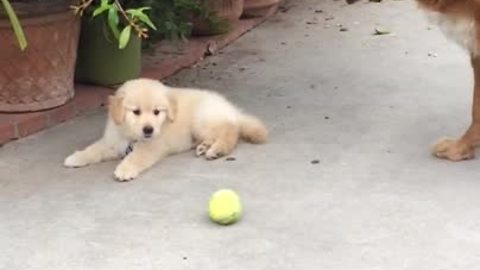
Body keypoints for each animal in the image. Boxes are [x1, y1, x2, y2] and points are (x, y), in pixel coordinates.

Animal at [62, 77, 268, 181]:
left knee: (230, 131)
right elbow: (94, 149)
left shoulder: (152, 146)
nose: (148, 130)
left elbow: (136, 157)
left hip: (202, 118)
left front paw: (125, 169)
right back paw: (204, 147)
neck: (131, 135)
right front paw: (76, 158)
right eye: (136, 112)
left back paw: (216, 150)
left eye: (156, 112)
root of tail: (230, 109)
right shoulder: (113, 141)